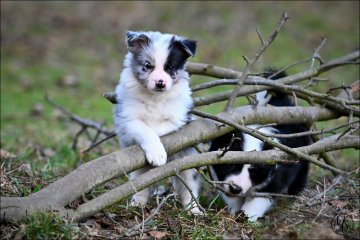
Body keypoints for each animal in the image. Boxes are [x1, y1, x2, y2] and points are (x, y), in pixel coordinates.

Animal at [112, 31, 200, 213]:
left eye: (171, 67)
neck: (154, 98)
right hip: (139, 173)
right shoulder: (127, 120)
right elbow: (146, 129)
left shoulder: (178, 118)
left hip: (188, 162)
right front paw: (157, 154)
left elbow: (160, 127)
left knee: (189, 186)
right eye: (147, 65)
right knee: (141, 185)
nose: (160, 82)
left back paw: (194, 210)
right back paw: (136, 204)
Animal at [210, 71, 310, 221]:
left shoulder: (272, 180)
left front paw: (246, 217)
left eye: (253, 171)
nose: (236, 188)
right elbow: (233, 198)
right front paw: (234, 213)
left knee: (299, 178)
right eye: (231, 164)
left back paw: (294, 197)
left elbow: (257, 200)